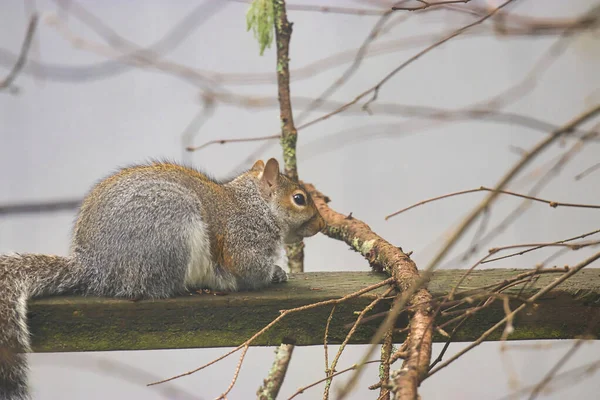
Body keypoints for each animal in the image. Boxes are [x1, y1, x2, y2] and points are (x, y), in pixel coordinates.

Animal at [0, 158, 324, 398]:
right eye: (299, 199)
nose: (321, 224)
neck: (255, 205)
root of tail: (96, 267)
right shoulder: (242, 241)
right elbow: (250, 270)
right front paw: (275, 274)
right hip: (170, 231)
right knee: (160, 286)